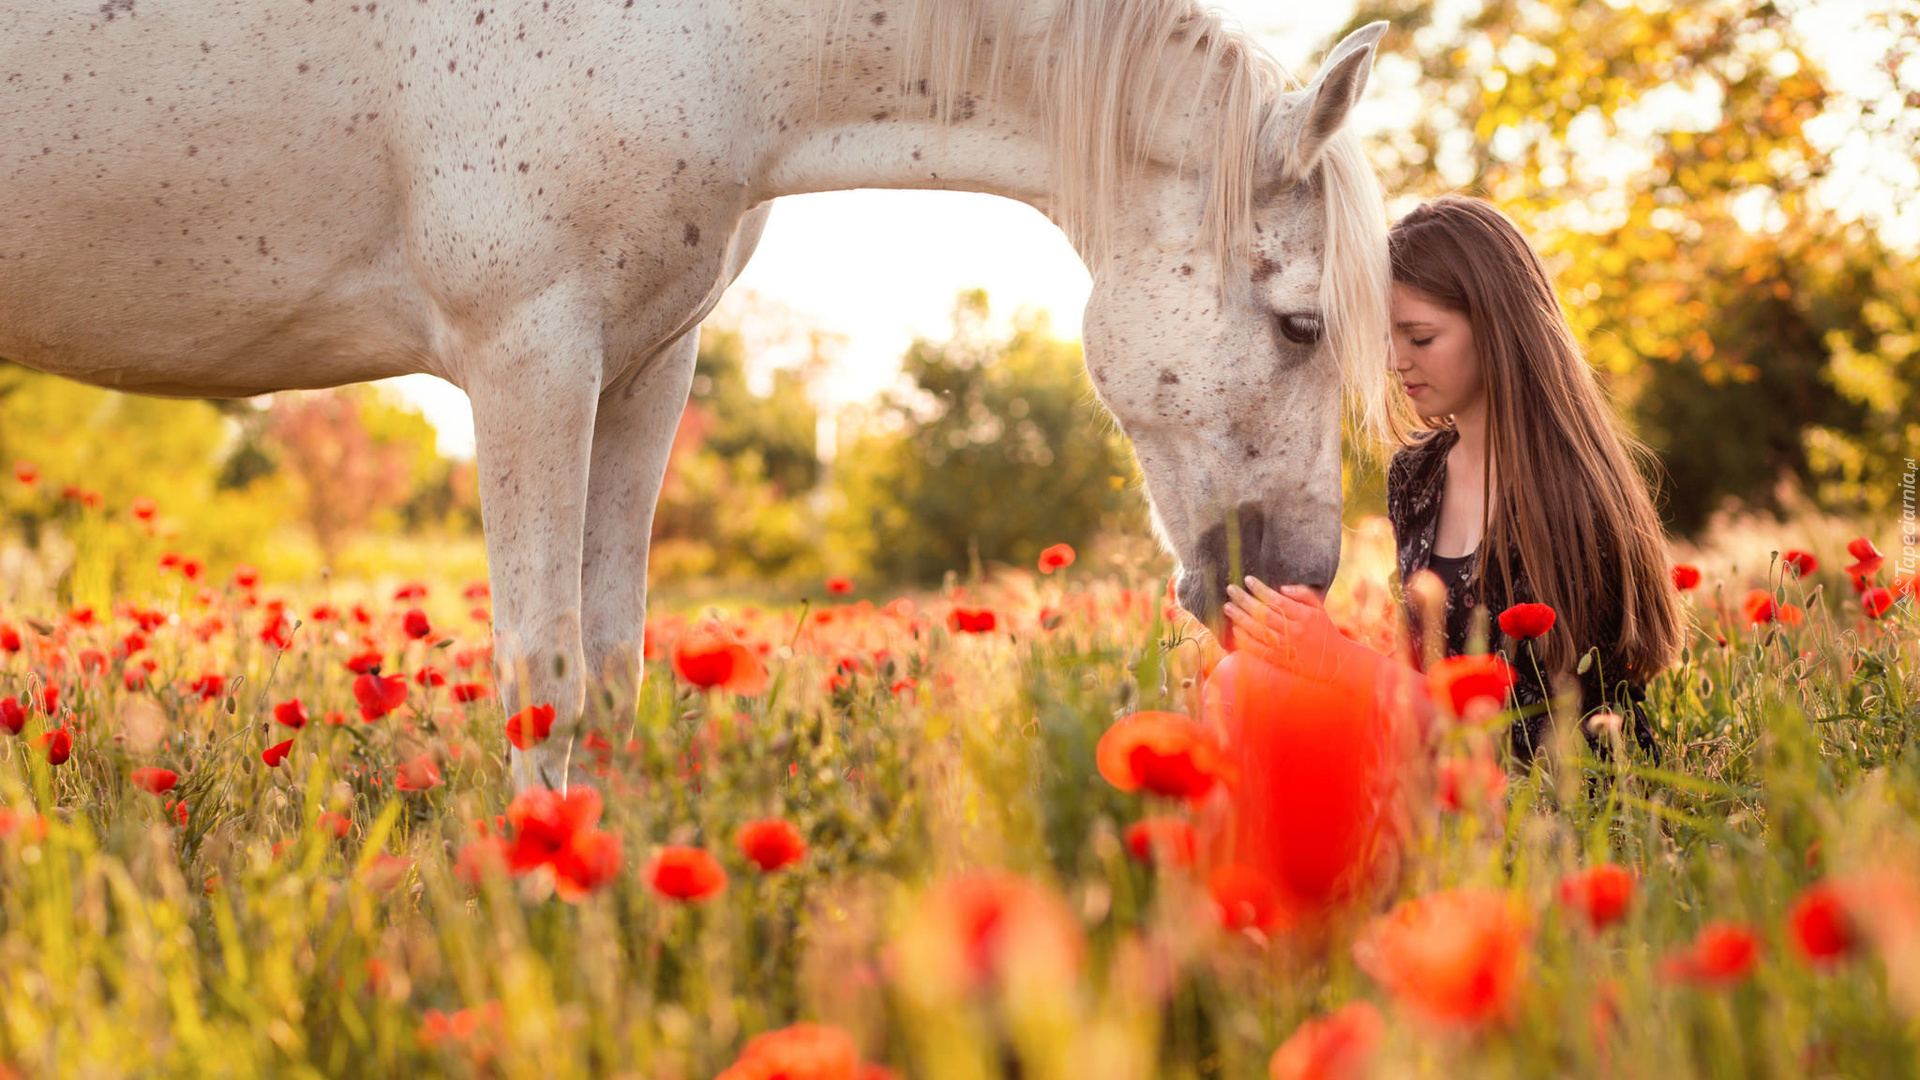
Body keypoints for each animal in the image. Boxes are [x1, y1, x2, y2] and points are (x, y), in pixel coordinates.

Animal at [0, 0, 1397, 787]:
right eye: (1301, 324)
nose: (1300, 583)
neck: (704, 34)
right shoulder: (527, 357)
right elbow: (543, 671)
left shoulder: (641, 367)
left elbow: (615, 669)